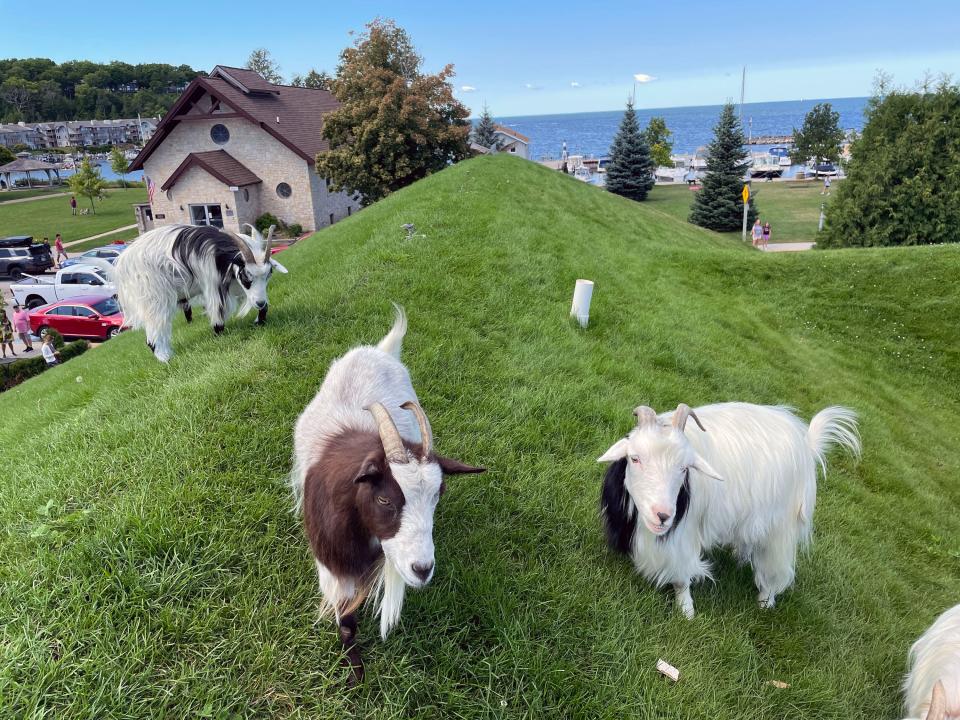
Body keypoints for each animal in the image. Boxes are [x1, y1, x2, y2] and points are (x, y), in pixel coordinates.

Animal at [110, 224, 284, 362]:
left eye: (269, 274)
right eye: (246, 276)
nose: (260, 303)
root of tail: (121, 264)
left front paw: (260, 320)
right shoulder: (212, 284)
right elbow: (218, 313)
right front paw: (218, 335)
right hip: (154, 296)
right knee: (156, 327)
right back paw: (165, 358)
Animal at [288, 306, 484, 684]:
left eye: (438, 495)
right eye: (383, 499)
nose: (422, 569)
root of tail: (378, 350)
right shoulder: (332, 566)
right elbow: (346, 622)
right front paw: (355, 674)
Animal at [596, 402, 860, 616]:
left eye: (684, 468)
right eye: (635, 458)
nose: (662, 516)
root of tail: (807, 444)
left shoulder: (683, 538)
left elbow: (681, 577)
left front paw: (686, 610)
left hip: (782, 527)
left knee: (777, 566)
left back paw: (766, 601)